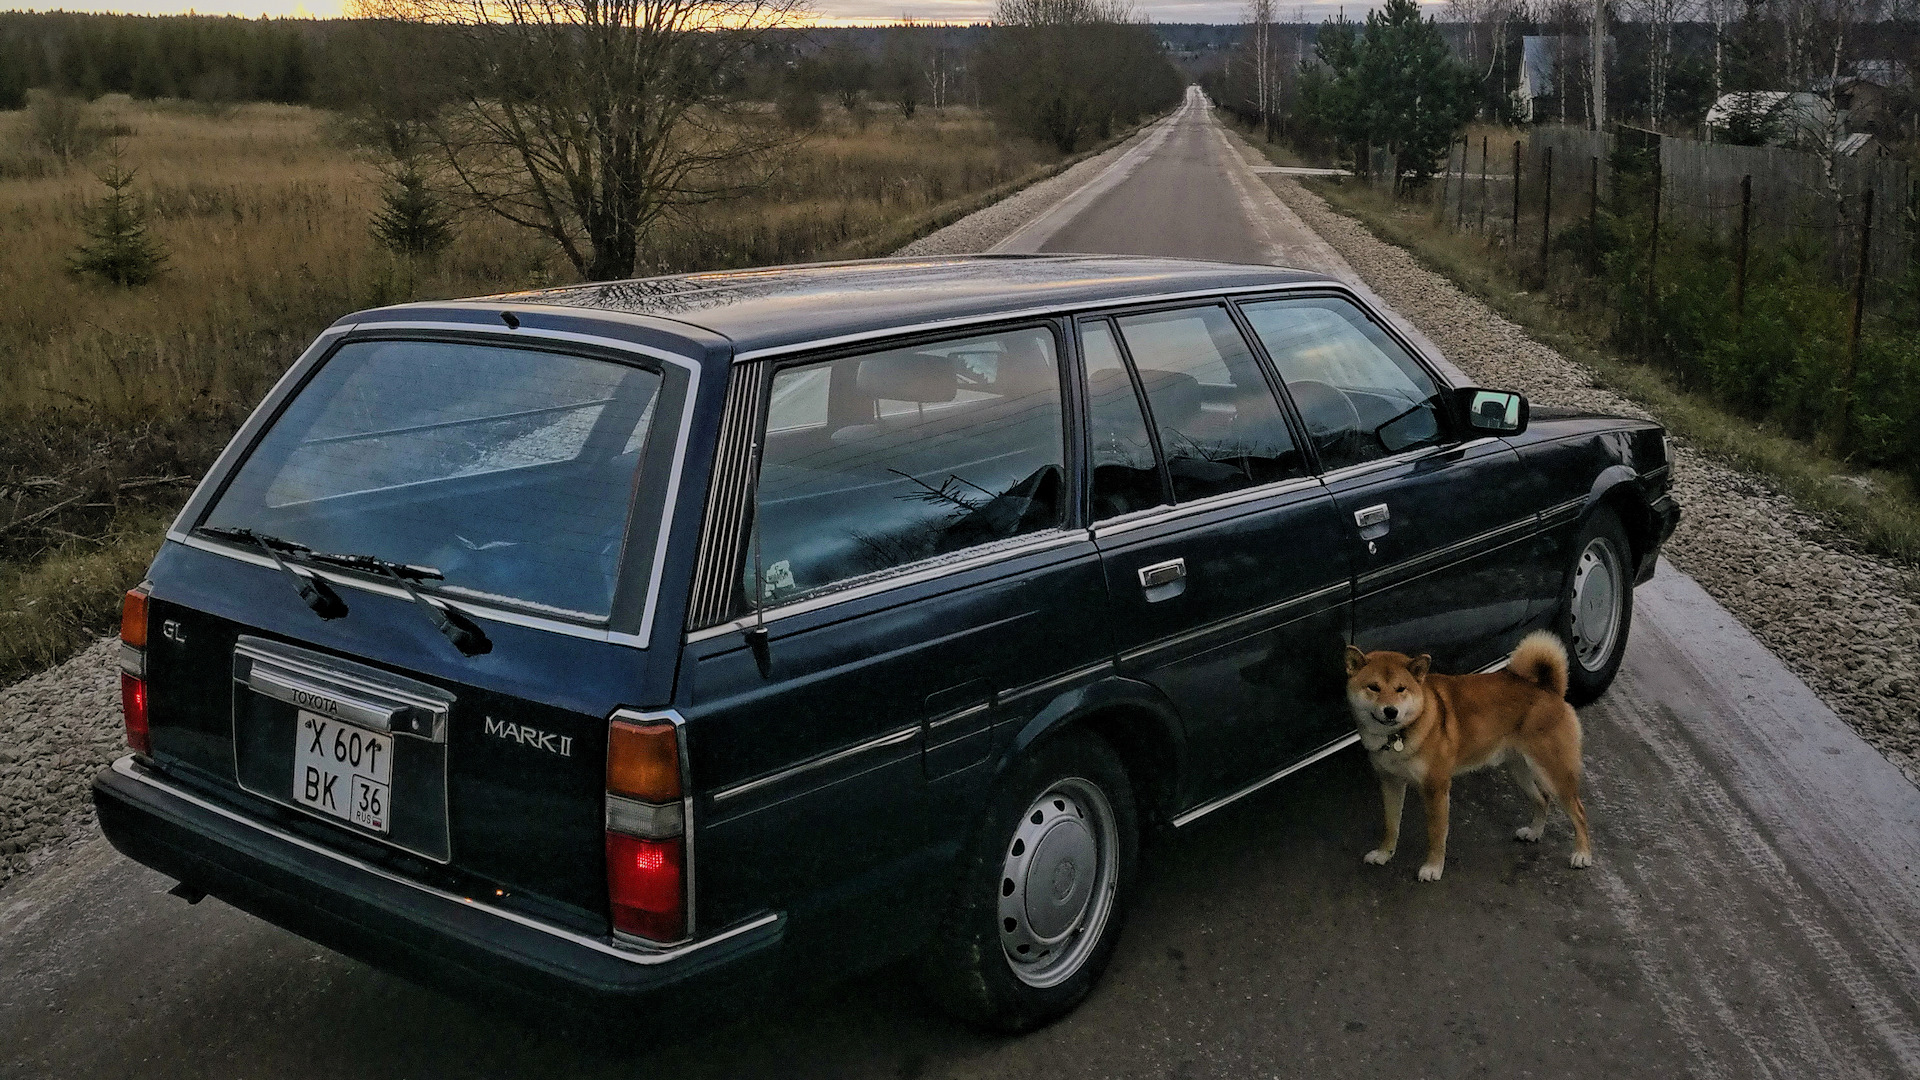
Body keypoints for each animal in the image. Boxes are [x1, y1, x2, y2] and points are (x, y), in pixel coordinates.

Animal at [1344, 626, 1597, 880]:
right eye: (1373, 687)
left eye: (1400, 689)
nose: (1390, 711)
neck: (1400, 734)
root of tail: (1549, 689)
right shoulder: (1390, 782)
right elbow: (1391, 825)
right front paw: (1384, 854)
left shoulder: (1435, 788)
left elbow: (1436, 834)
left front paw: (1433, 867)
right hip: (1519, 768)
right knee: (1542, 798)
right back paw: (1534, 832)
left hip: (1553, 772)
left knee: (1579, 811)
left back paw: (1582, 854)